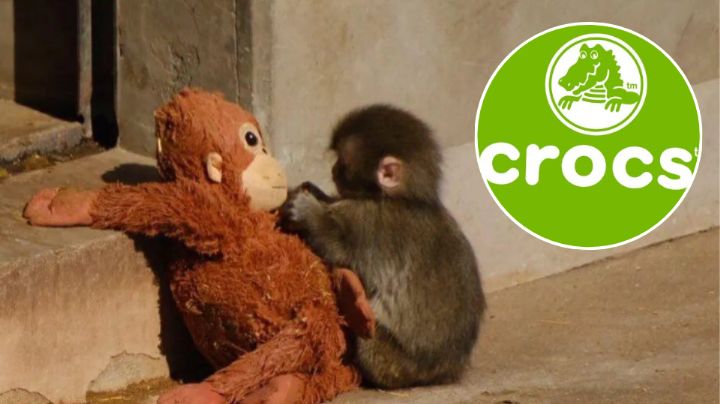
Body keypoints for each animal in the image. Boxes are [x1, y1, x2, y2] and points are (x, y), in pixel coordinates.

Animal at [281, 104, 486, 389]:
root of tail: (444, 372)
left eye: (343, 163)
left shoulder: (369, 222)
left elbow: (339, 250)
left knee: (369, 339)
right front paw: (317, 193)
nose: (333, 170)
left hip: (393, 363)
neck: (404, 199)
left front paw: (308, 211)